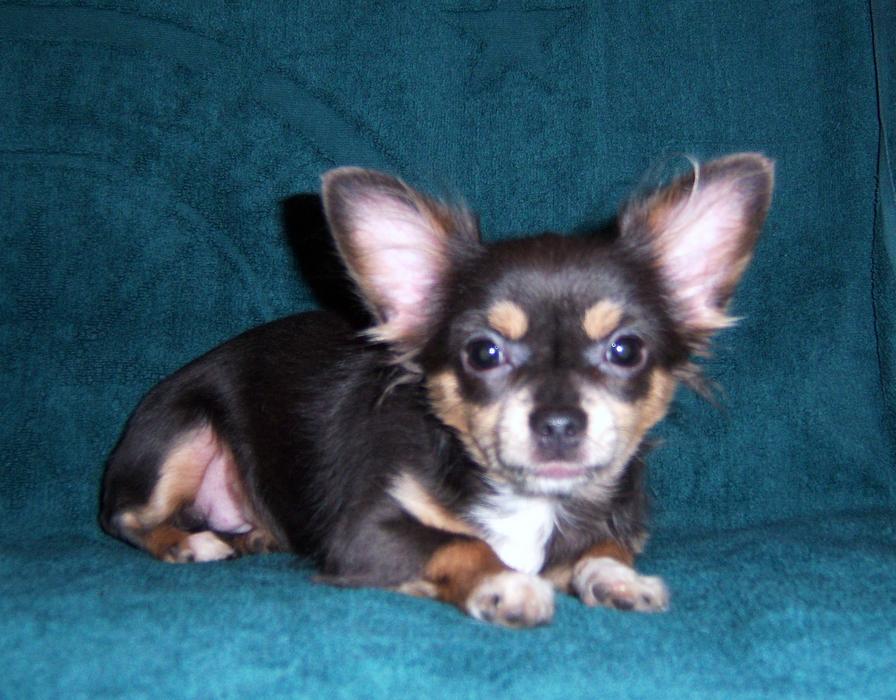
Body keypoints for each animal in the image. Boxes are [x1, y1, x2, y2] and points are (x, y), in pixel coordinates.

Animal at [100, 153, 773, 628]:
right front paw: (505, 582)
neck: (529, 501)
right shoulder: (366, 534)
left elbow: (605, 544)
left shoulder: (609, 524)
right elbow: (461, 543)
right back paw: (191, 543)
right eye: (484, 354)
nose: (559, 422)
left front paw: (615, 577)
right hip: (182, 432)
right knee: (125, 517)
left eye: (626, 351)